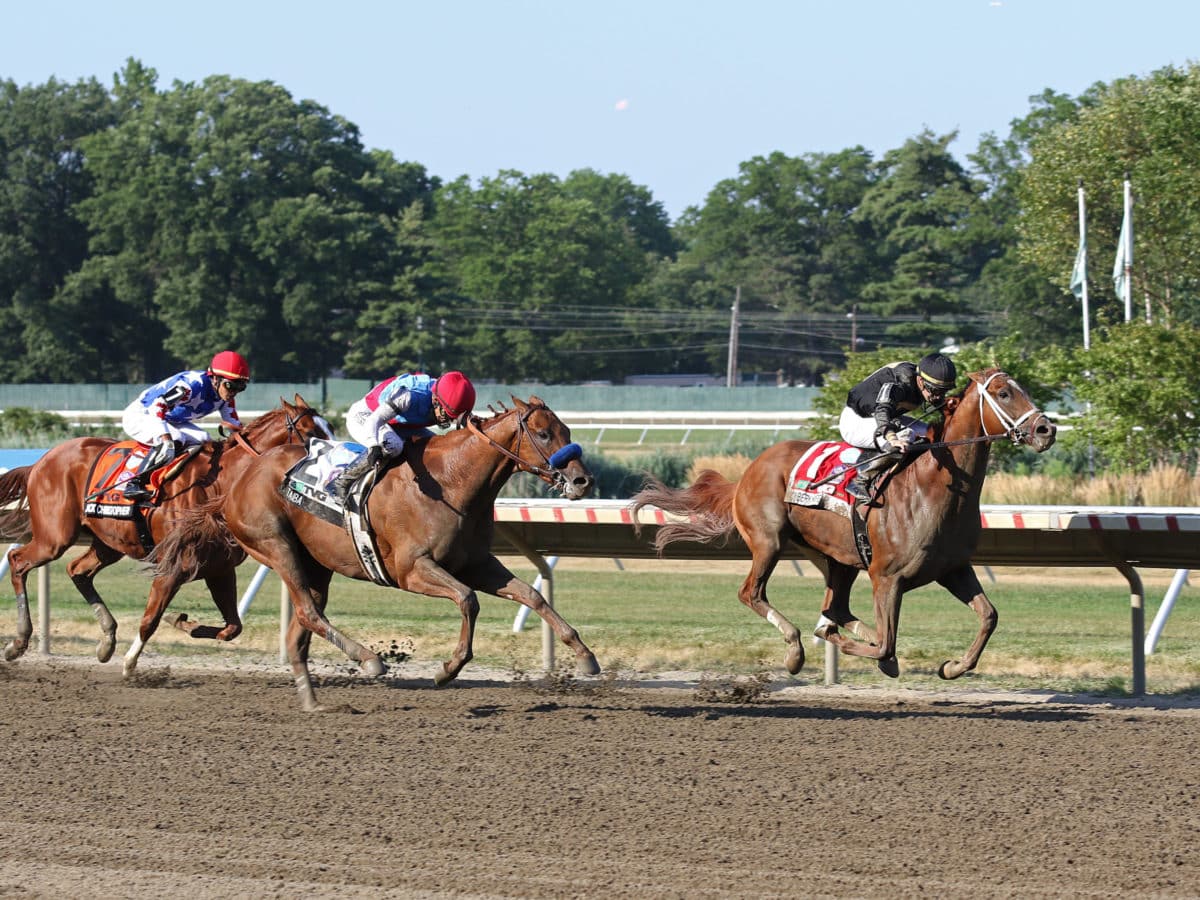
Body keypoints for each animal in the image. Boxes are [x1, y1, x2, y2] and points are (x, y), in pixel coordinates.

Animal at [0, 393, 333, 672]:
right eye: (312, 433)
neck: (220, 485)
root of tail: (42, 460)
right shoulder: (175, 564)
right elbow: (150, 619)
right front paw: (130, 664)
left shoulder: (219, 567)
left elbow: (232, 627)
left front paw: (184, 622)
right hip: (54, 537)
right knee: (18, 562)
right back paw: (18, 642)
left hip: (107, 542)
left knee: (77, 570)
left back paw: (107, 639)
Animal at [151, 398, 600, 715]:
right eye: (543, 434)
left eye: (566, 429)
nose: (582, 480)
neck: (453, 481)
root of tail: (235, 482)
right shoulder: (412, 569)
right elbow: (467, 600)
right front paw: (448, 669)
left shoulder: (476, 564)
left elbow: (532, 594)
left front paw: (585, 656)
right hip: (275, 545)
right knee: (308, 613)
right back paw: (370, 660)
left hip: (316, 563)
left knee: (300, 630)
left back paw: (312, 700)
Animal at [633, 369, 1056, 681]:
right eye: (1003, 393)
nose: (1045, 430)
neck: (934, 487)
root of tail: (748, 471)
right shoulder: (887, 577)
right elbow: (885, 643)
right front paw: (866, 651)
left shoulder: (953, 568)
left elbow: (989, 616)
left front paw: (952, 667)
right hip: (769, 542)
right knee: (753, 593)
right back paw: (795, 650)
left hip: (838, 559)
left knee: (835, 608)